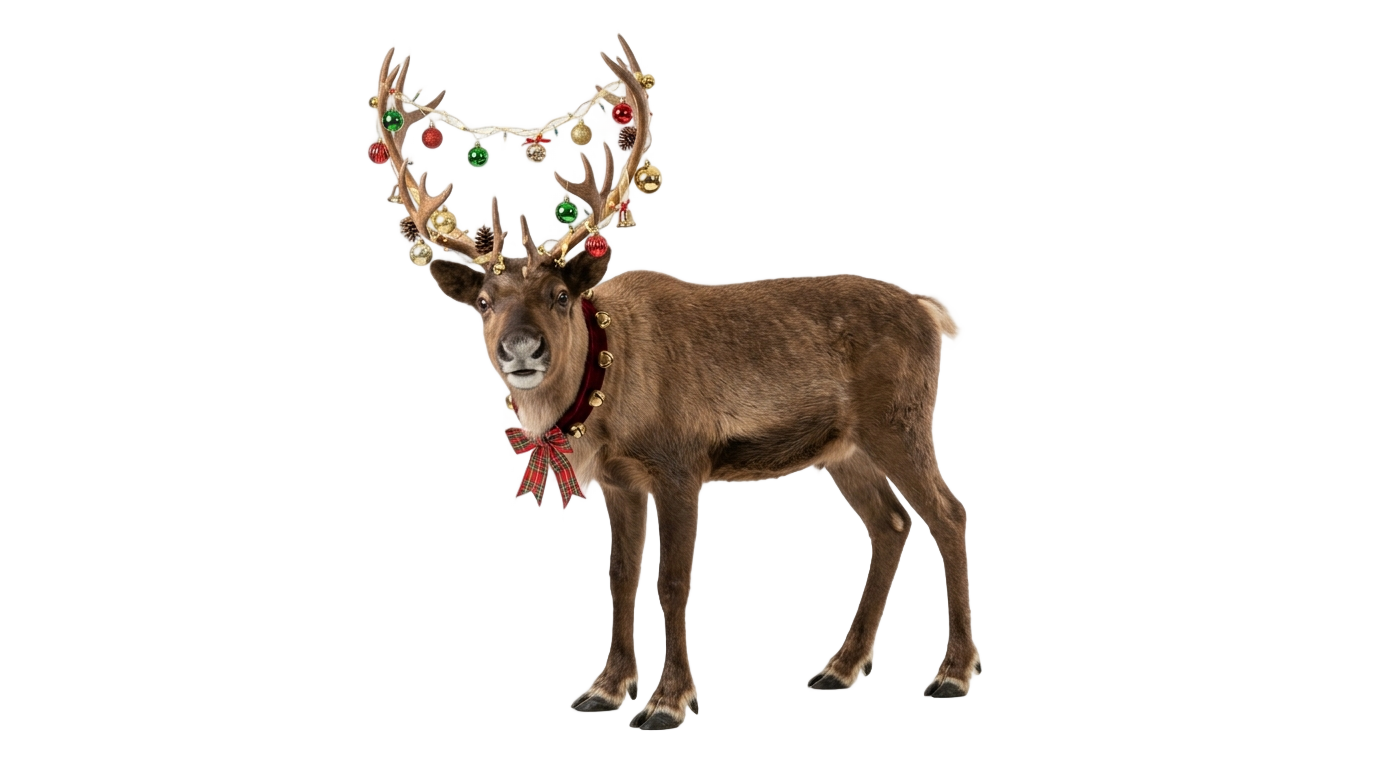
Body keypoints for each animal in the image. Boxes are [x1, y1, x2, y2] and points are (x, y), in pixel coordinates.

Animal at [371, 37, 979, 732]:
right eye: (482, 302)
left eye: (560, 295)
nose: (521, 349)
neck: (609, 389)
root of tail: (930, 312)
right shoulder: (618, 481)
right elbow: (617, 578)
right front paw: (606, 689)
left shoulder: (681, 464)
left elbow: (671, 581)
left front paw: (667, 701)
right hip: (842, 449)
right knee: (892, 523)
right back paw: (839, 668)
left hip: (898, 421)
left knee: (948, 513)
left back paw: (953, 674)